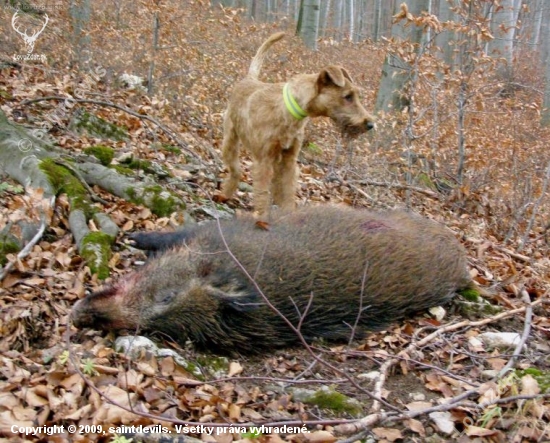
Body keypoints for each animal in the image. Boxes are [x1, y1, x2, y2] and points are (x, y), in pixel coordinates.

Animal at [219, 31, 376, 219]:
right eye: (347, 96)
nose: (370, 124)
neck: (290, 111)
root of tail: (249, 78)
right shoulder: (264, 160)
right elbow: (263, 193)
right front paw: (262, 217)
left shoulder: (289, 160)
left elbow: (287, 191)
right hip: (230, 139)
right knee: (235, 169)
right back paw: (225, 193)